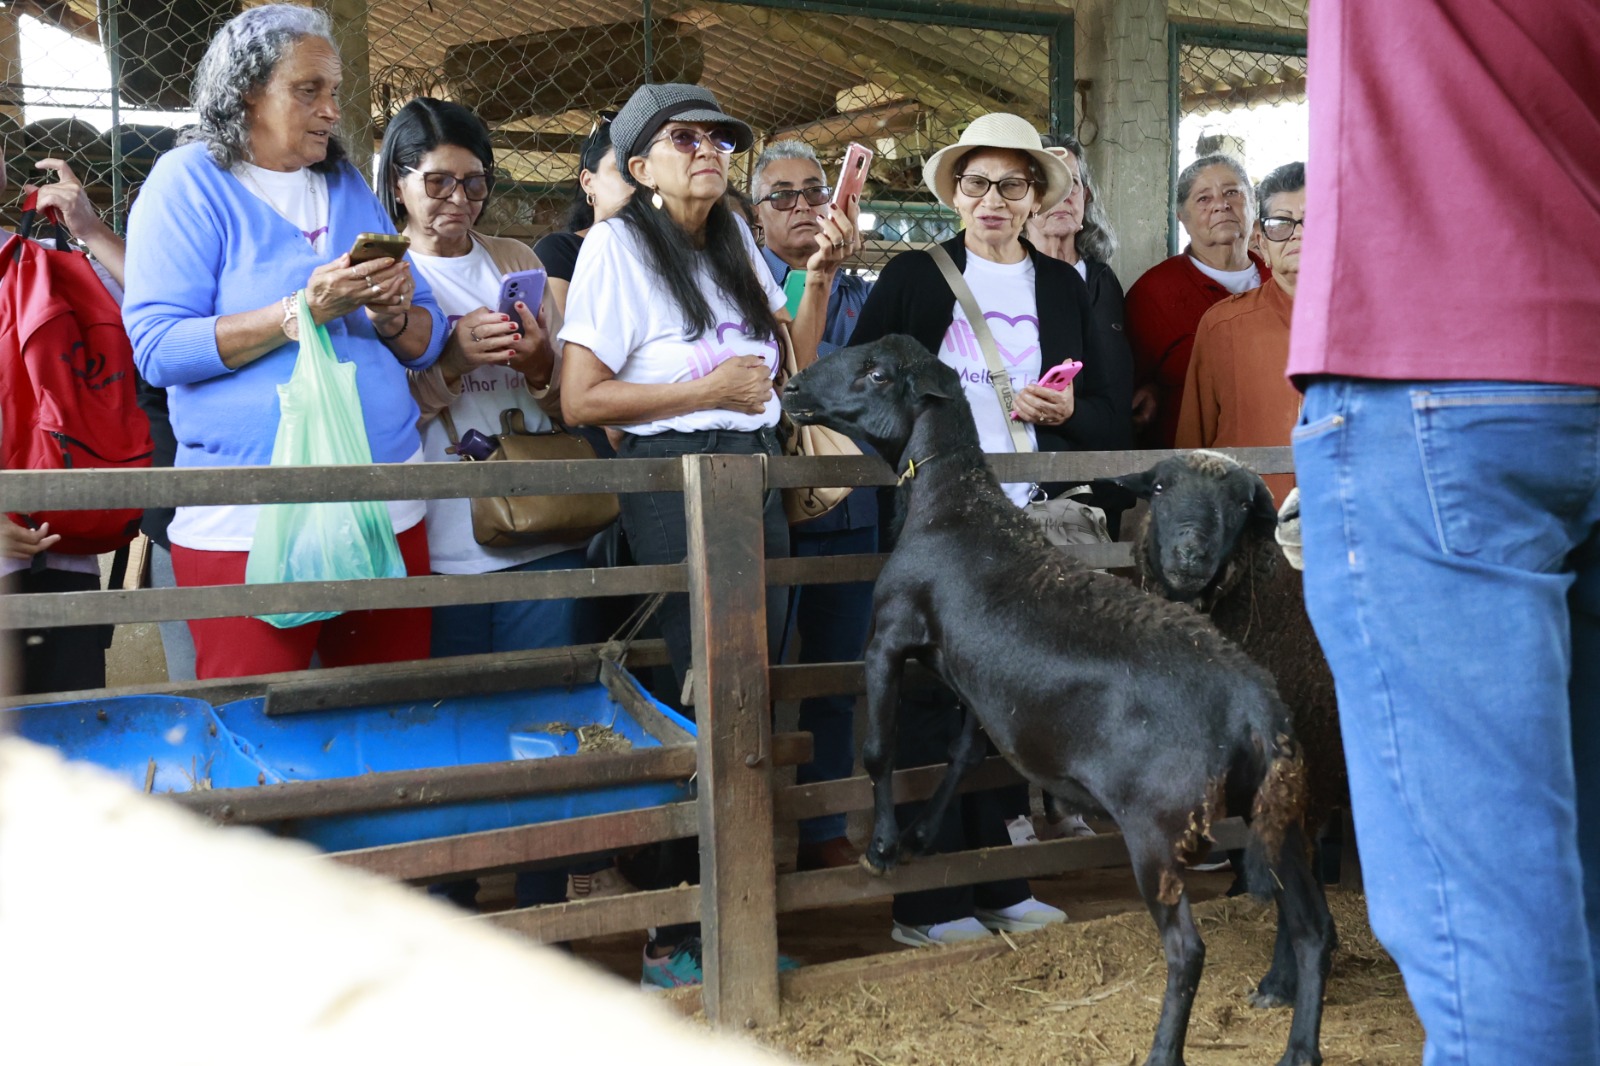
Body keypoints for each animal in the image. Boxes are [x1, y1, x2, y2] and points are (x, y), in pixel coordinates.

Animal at [780, 336, 1331, 1062]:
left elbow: (878, 750)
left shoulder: (890, 634)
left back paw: (1164, 1051)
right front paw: (923, 836)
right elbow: (965, 753)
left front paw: (882, 849)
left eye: (874, 373)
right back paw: (1299, 1049)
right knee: (1313, 928)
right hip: (1280, 816)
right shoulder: (973, 680)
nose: (791, 389)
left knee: (1189, 950)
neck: (950, 503)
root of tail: (1258, 709)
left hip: (1156, 826)